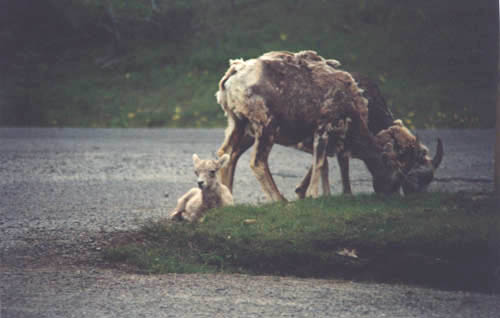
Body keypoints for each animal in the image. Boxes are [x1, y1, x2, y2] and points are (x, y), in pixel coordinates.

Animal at [215, 51, 414, 202]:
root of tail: (232, 75)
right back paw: (281, 201)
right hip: (266, 126)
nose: (392, 196)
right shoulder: (324, 128)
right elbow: (320, 164)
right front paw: (314, 195)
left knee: (226, 154)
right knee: (257, 162)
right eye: (397, 175)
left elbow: (323, 165)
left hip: (238, 123)